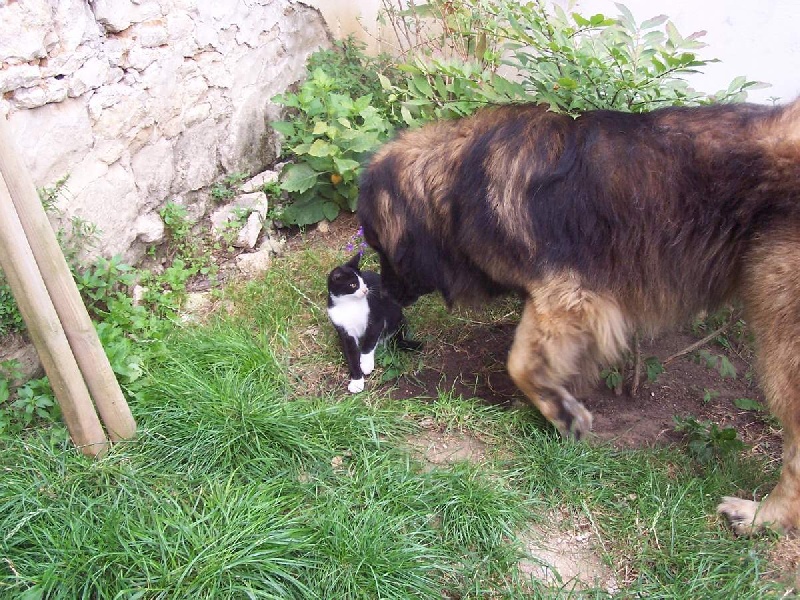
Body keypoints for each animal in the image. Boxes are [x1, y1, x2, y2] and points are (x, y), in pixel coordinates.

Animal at [326, 253, 422, 394]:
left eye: (363, 282)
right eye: (353, 285)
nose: (365, 290)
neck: (349, 304)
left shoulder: (376, 319)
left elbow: (369, 341)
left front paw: (366, 364)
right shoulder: (344, 330)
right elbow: (351, 354)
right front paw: (356, 381)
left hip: (395, 314)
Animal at [358, 101, 800, 536]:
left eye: (379, 245)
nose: (386, 294)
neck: (456, 182)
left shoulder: (567, 294)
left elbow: (519, 362)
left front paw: (563, 412)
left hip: (781, 338)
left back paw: (761, 517)